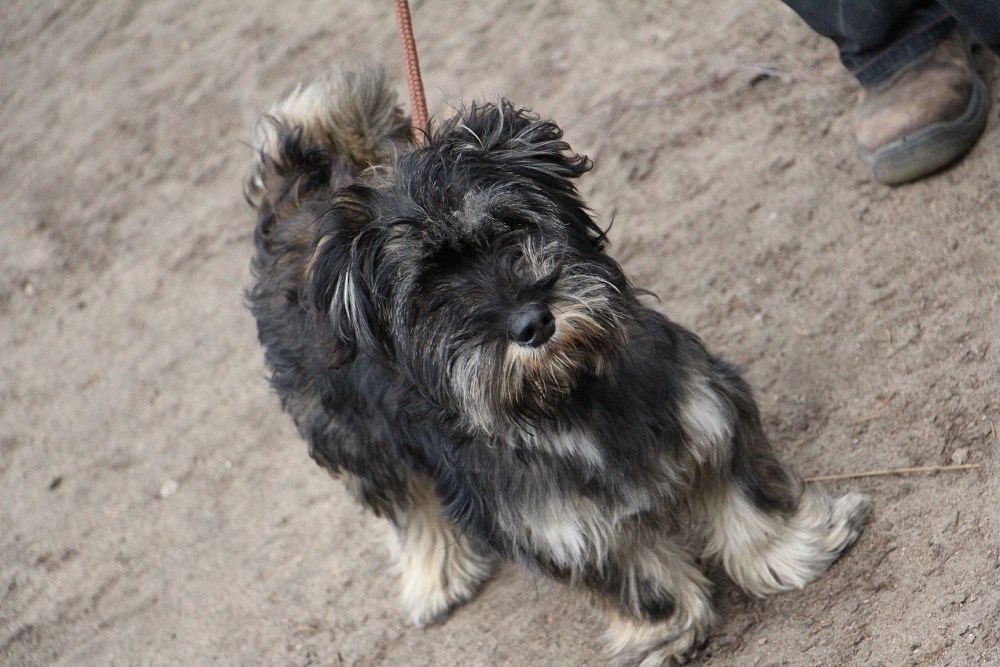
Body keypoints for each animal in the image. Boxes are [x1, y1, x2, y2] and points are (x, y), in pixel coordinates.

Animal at [246, 64, 869, 666]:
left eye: (510, 229)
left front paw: (795, 549)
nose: (531, 323)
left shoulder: (704, 410)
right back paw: (435, 580)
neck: (568, 391)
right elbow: (635, 579)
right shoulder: (550, 519)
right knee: (410, 509)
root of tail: (295, 197)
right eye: (427, 289)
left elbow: (746, 496)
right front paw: (666, 634)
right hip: (357, 442)